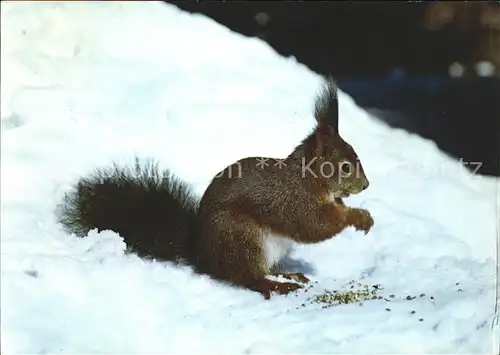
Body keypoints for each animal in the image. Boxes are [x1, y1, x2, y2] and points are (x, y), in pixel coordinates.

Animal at [56, 78, 374, 300]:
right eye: (346, 167)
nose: (366, 185)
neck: (308, 178)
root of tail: (202, 255)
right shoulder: (295, 202)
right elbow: (315, 225)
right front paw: (358, 217)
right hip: (242, 238)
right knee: (248, 278)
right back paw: (274, 285)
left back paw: (289, 274)